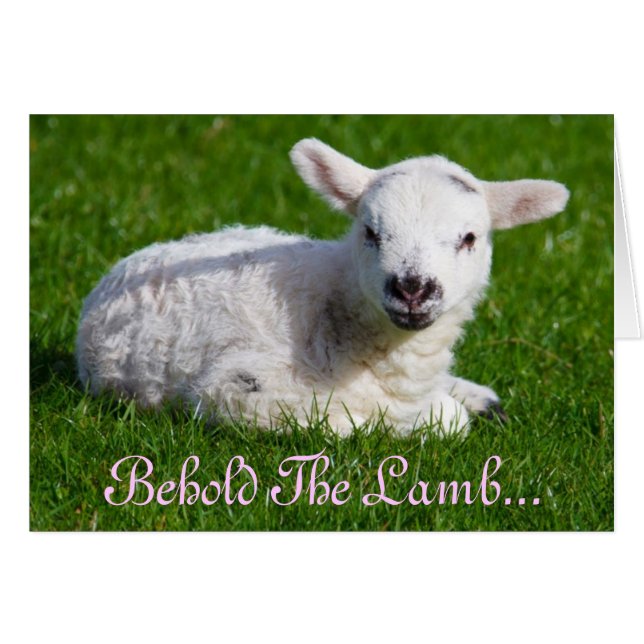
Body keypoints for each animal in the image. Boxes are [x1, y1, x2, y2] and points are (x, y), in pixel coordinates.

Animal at [76, 138, 569, 436]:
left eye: (469, 238)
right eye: (370, 232)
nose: (412, 288)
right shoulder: (234, 388)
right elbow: (351, 423)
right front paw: (425, 417)